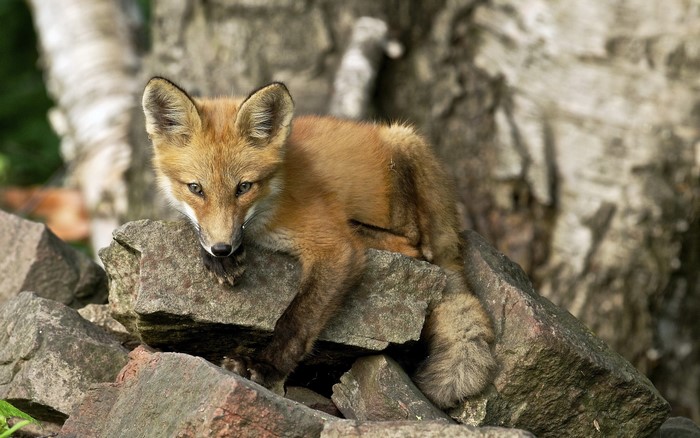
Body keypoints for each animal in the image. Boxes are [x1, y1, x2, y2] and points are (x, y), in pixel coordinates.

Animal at [141, 76, 496, 409]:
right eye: (195, 188)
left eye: (244, 187)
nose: (222, 248)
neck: (272, 200)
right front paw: (220, 258)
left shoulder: (334, 248)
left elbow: (297, 319)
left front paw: (267, 367)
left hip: (404, 145)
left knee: (415, 245)